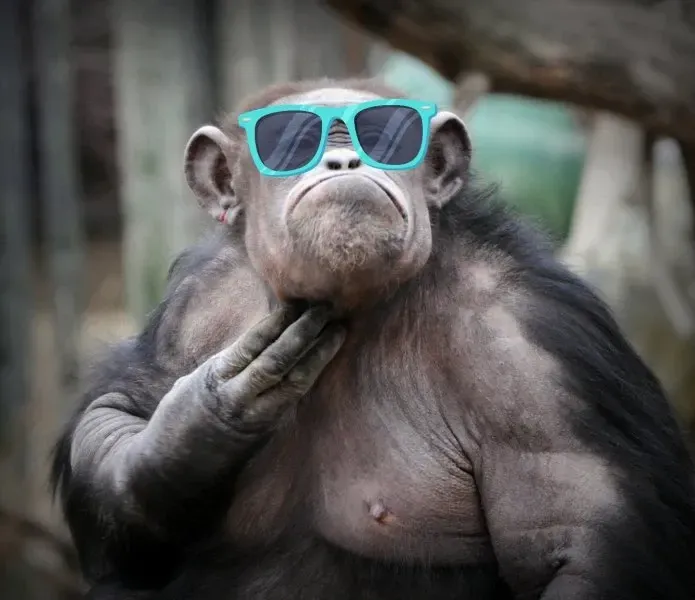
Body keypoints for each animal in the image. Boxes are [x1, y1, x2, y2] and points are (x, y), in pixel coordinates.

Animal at [51, 77, 695, 600]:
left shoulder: (539, 349)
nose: (345, 158)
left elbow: (577, 544)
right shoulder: (196, 305)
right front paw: (209, 412)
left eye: (385, 132)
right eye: (292, 139)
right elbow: (116, 414)